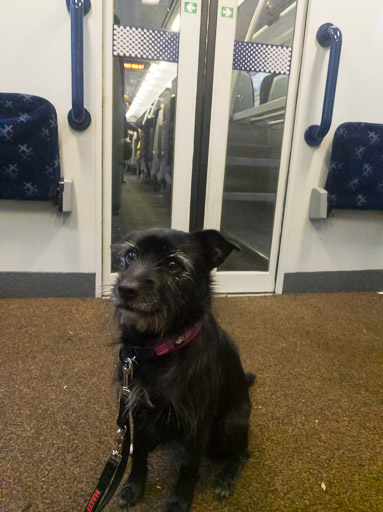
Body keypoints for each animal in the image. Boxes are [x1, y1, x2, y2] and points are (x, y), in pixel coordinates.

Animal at [111, 229, 255, 512]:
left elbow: (189, 466)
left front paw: (178, 502)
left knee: (243, 454)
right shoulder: (138, 405)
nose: (125, 290)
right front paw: (133, 486)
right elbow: (140, 451)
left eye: (173, 264)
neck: (161, 346)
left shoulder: (197, 421)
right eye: (130, 255)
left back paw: (227, 478)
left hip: (231, 424)